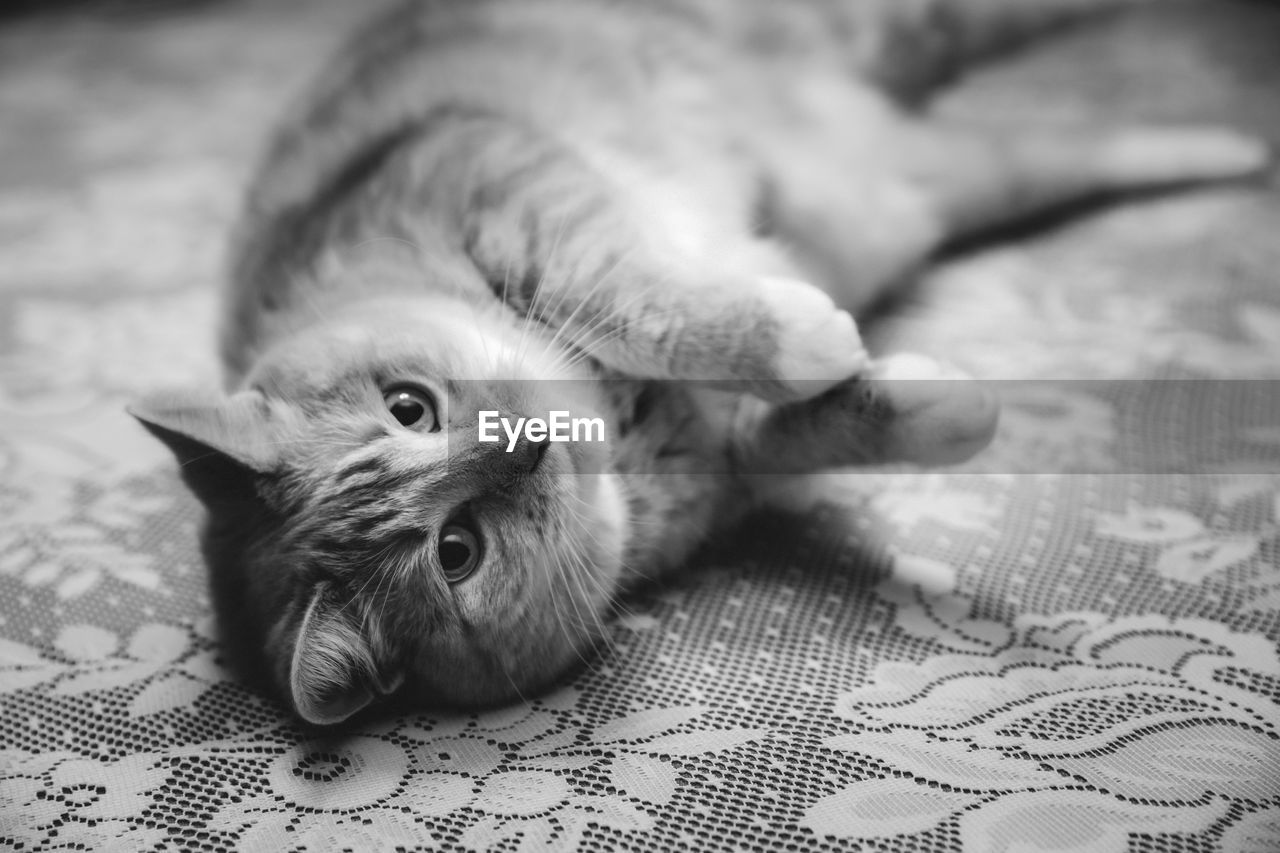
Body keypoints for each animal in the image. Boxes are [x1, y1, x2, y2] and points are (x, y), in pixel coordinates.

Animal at [129, 0, 1269, 722]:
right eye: (456, 552)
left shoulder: (509, 178)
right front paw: (927, 397)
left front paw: (787, 331)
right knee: (1059, 146)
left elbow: (632, 296)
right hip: (922, 167)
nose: (525, 447)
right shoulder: (737, 462)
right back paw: (1231, 148)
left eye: (411, 406)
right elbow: (825, 426)